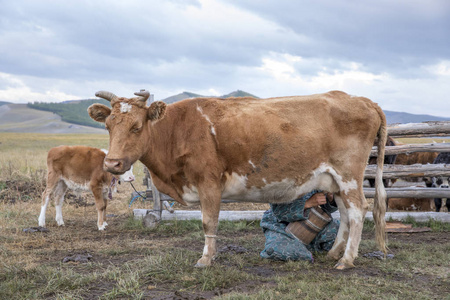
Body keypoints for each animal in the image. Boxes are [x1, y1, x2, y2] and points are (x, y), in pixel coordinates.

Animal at [88, 89, 386, 270]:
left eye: (137, 126)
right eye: (108, 126)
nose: (112, 163)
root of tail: (363, 100)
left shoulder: (208, 182)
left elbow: (209, 221)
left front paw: (206, 258)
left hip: (349, 175)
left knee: (358, 210)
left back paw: (347, 260)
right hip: (336, 181)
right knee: (345, 213)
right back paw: (336, 253)